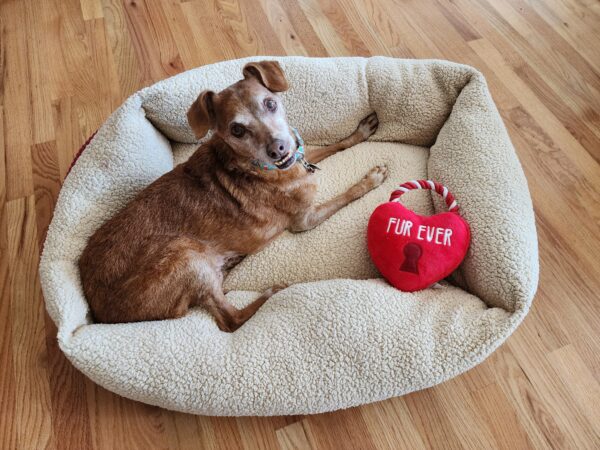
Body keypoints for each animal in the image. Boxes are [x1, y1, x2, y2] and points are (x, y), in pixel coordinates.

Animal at [78, 61, 390, 332]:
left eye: (270, 103)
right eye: (237, 130)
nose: (278, 149)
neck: (262, 168)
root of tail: (100, 313)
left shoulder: (301, 158)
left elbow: (333, 146)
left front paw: (359, 132)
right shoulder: (305, 220)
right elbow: (346, 194)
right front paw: (371, 179)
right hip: (184, 254)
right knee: (229, 320)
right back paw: (271, 292)